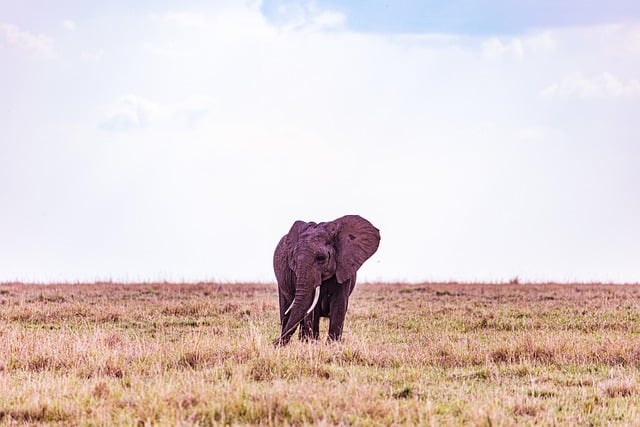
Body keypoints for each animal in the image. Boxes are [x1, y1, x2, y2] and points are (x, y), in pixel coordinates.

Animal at [272, 216, 380, 346]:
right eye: (294, 262)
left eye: (321, 258)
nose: (273, 342)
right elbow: (311, 309)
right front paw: (312, 344)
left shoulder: (344, 267)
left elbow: (339, 306)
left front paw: (332, 345)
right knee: (286, 313)